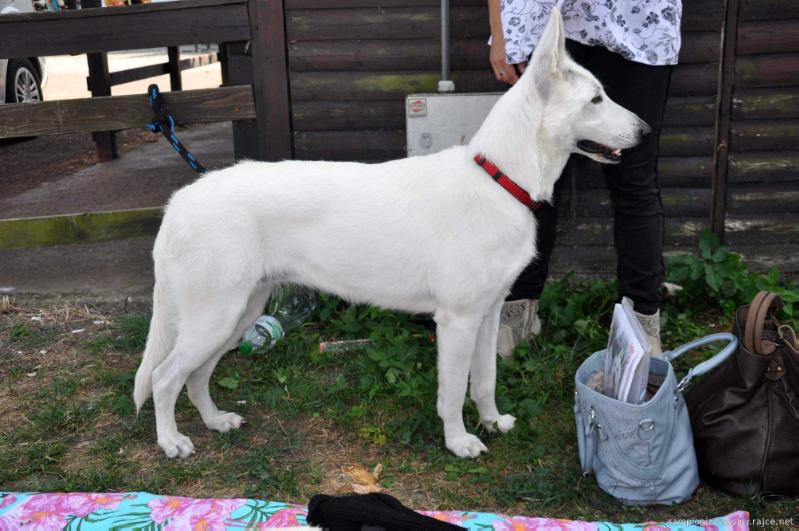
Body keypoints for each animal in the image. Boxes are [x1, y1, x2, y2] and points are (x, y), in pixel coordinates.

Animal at [134, 12, 648, 462]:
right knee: (163, 377)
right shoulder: (457, 321)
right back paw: (172, 442)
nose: (645, 130)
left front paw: (493, 422)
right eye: (597, 99)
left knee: (195, 375)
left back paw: (215, 420)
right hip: (215, 316)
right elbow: (453, 392)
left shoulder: (487, 315)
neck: (500, 179)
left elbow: (484, 381)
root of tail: (180, 202)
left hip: (237, 314)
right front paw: (459, 442)